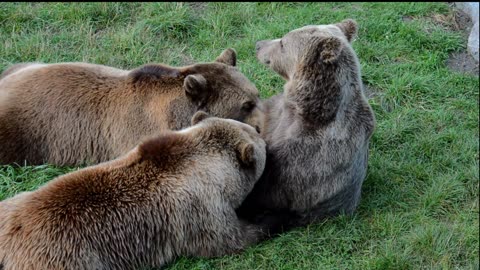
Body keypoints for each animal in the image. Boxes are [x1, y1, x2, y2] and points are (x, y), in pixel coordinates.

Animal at [0, 112, 268, 270]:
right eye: (256, 132)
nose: (260, 130)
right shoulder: (200, 209)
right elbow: (230, 239)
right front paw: (268, 219)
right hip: (67, 258)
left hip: (10, 205)